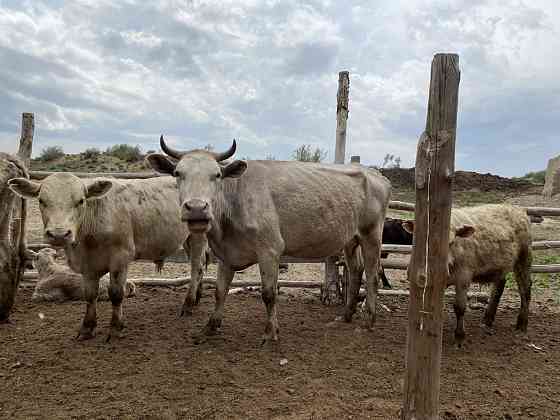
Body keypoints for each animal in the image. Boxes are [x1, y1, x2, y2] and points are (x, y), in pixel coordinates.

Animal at [8, 172, 203, 340]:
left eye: (81, 201)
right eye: (41, 200)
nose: (59, 234)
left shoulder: (121, 258)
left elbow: (116, 293)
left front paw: (115, 328)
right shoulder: (87, 266)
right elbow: (89, 295)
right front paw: (87, 328)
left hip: (198, 235)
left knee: (196, 268)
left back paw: (188, 304)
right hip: (187, 239)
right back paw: (197, 299)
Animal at [145, 136, 390, 342]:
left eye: (217, 175)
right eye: (178, 173)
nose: (196, 208)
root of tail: (374, 173)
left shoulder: (270, 251)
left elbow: (269, 294)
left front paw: (271, 332)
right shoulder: (226, 255)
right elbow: (219, 291)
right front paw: (210, 327)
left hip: (371, 234)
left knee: (372, 275)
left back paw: (368, 320)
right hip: (350, 239)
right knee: (356, 270)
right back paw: (346, 315)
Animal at [402, 203, 528, 344]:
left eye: (451, 242)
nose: (446, 265)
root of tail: (515, 208)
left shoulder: (463, 278)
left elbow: (460, 307)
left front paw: (459, 335)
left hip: (524, 257)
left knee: (525, 288)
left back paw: (522, 323)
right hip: (500, 267)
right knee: (499, 287)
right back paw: (487, 319)